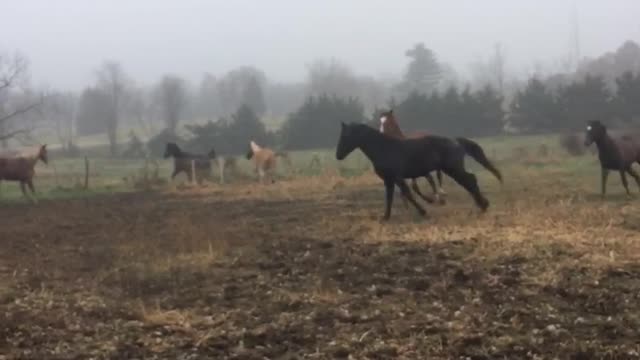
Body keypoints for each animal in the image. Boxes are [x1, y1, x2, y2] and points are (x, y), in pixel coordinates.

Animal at [336, 122, 490, 221]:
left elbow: (407, 193)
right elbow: (390, 197)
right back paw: (482, 205)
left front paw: (423, 212)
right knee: (470, 181)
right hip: (452, 169)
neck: (384, 148)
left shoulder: (397, 177)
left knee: (470, 180)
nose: (338, 155)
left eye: (346, 136)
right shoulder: (389, 180)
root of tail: (455, 141)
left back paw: (483, 205)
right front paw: (385, 217)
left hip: (453, 169)